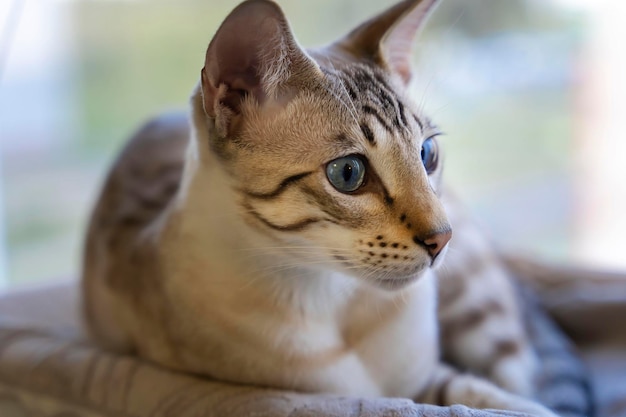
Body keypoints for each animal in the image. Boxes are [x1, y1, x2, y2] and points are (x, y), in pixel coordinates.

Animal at [81, 0, 564, 414]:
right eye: (348, 173)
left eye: (427, 154)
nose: (443, 239)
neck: (336, 304)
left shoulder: (428, 382)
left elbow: (509, 403)